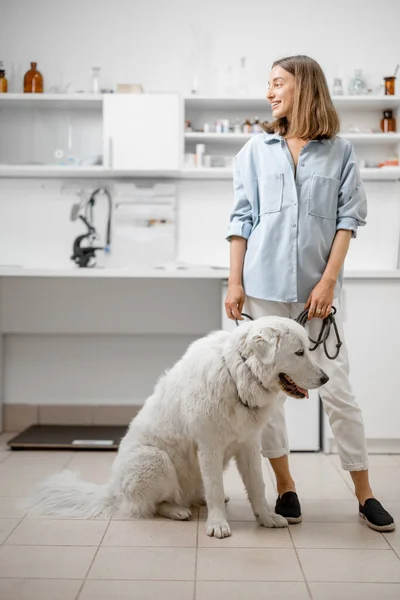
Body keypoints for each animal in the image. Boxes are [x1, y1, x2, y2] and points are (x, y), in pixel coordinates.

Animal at [25, 314, 328, 540]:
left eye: (307, 349)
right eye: (299, 352)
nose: (325, 378)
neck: (237, 375)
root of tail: (112, 491)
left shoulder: (249, 446)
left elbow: (257, 486)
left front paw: (266, 517)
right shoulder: (209, 447)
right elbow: (215, 487)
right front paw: (218, 525)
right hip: (155, 460)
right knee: (150, 505)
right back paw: (177, 511)